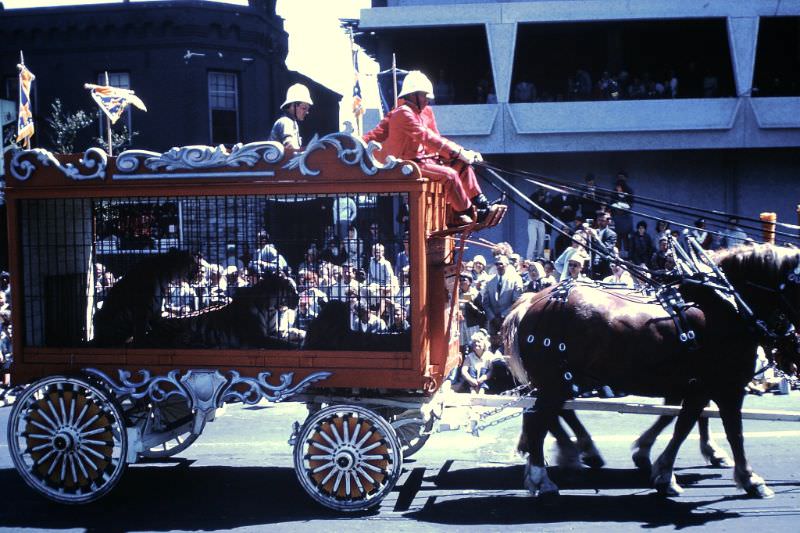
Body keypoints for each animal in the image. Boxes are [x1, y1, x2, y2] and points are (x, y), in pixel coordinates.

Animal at [506, 244, 800, 498]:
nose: (791, 344)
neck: (727, 304)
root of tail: (532, 301)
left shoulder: (697, 387)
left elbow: (682, 423)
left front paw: (661, 469)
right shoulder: (727, 386)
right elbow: (732, 431)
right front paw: (750, 479)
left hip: (563, 380)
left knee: (548, 416)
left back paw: (569, 457)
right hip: (556, 382)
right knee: (538, 420)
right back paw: (544, 477)